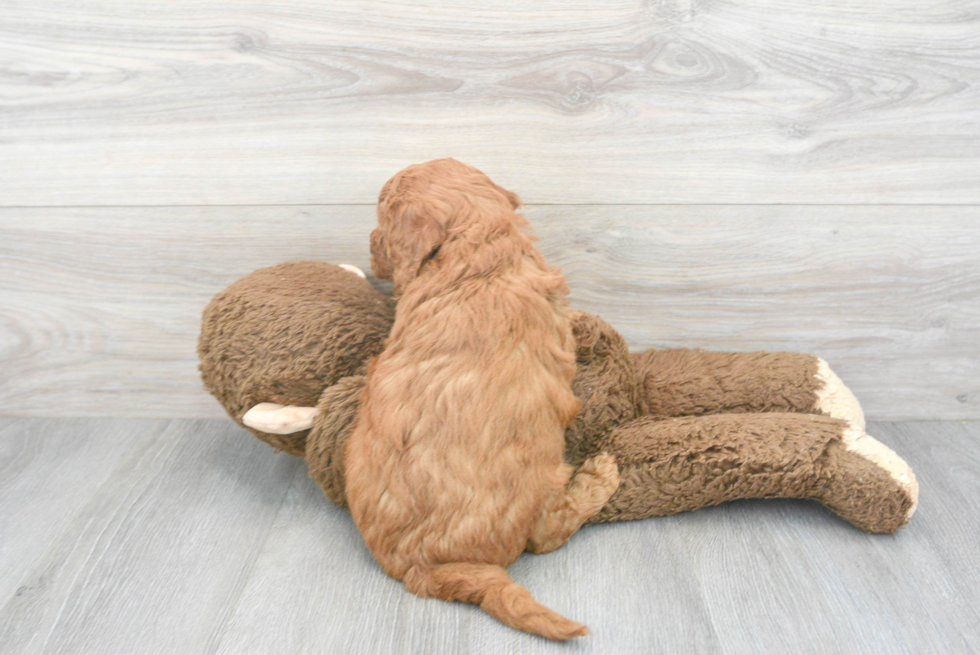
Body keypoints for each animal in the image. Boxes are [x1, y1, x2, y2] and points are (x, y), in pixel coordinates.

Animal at [344, 160, 620, 640]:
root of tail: (428, 566)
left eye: (381, 218)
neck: (479, 253)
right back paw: (599, 475)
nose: (370, 242)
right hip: (545, 475)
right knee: (546, 537)